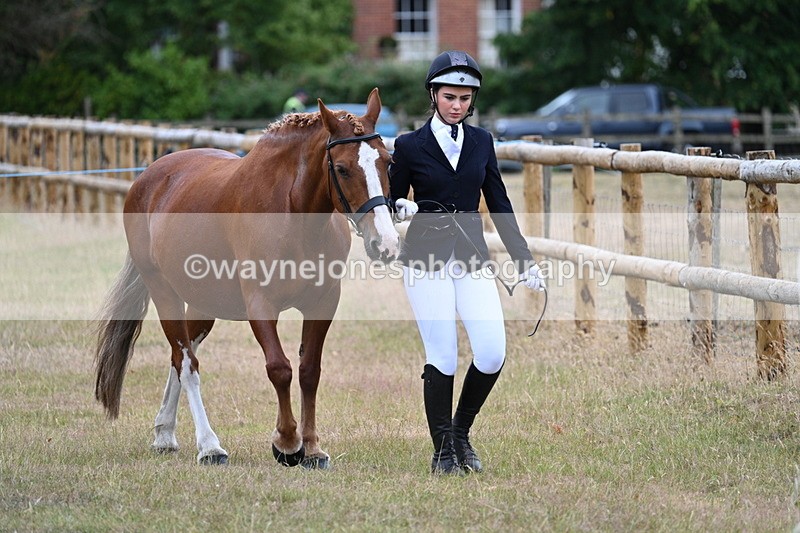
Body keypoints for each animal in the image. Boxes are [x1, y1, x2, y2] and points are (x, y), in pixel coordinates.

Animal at [94, 88, 400, 468]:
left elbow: (309, 370)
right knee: (186, 362)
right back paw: (210, 446)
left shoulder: (323, 302)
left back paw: (165, 432)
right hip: (164, 293)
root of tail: (148, 178)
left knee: (179, 358)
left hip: (202, 304)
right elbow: (280, 368)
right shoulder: (261, 304)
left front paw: (312, 447)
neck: (292, 213)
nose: (385, 243)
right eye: (342, 168)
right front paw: (287, 443)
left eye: (388, 162)